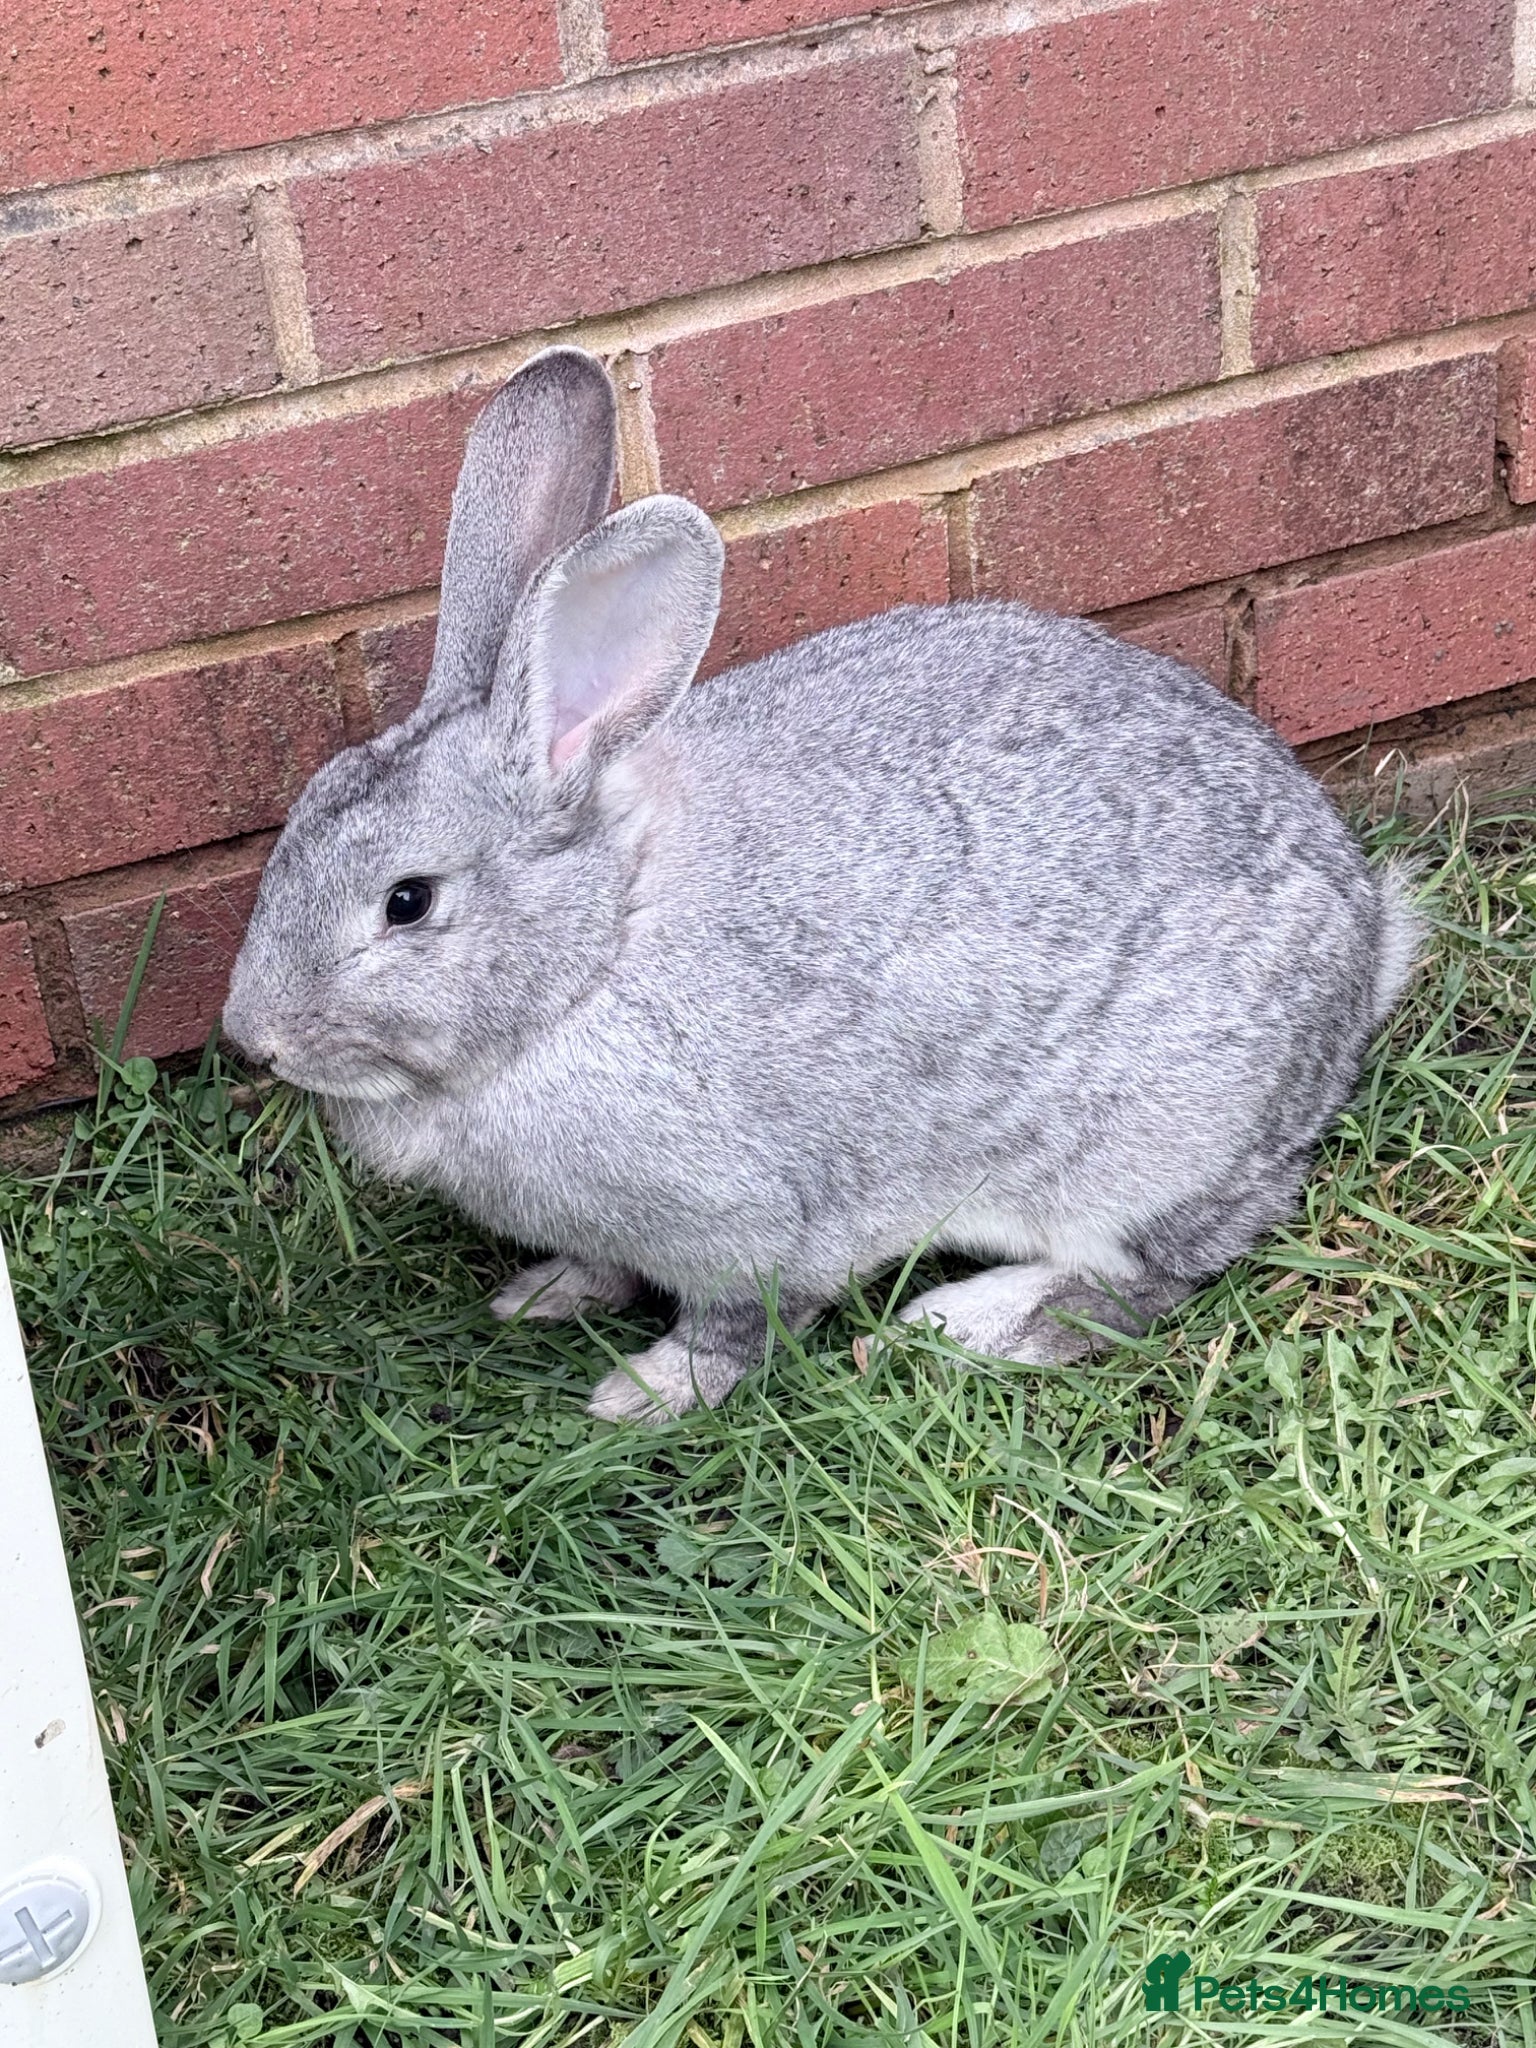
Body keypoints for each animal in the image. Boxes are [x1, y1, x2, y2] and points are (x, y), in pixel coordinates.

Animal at [223, 346, 1420, 1424]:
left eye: (408, 901)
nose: (251, 1040)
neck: (596, 952)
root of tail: (1366, 946)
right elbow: (602, 1266)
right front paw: (547, 1294)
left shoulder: (749, 1222)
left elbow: (743, 1323)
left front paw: (643, 1395)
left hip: (1153, 1143)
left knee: (1151, 1273)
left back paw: (967, 1322)